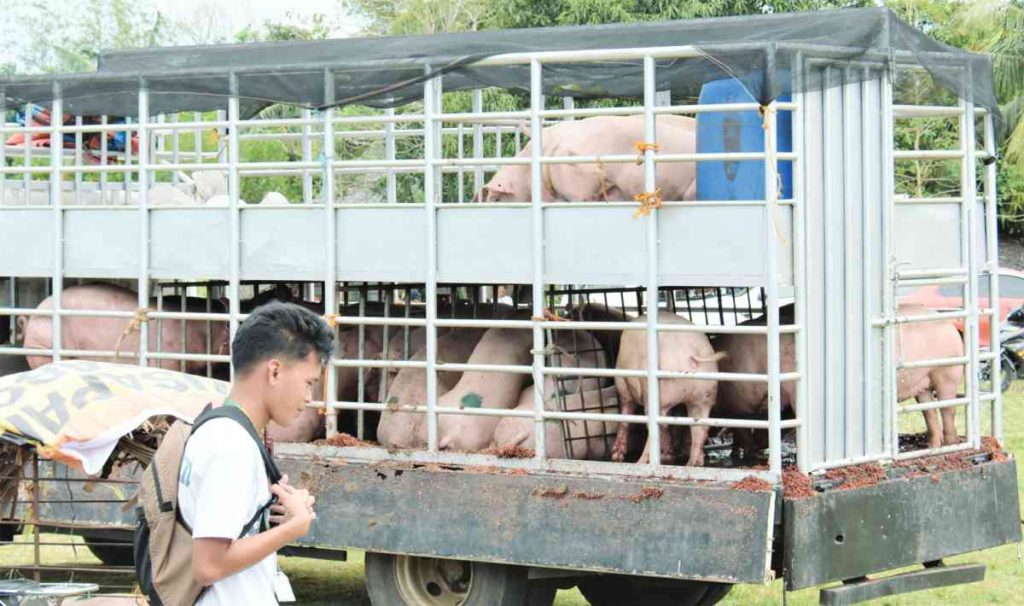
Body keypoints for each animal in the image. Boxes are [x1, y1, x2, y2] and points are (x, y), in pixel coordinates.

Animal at [610, 313, 724, 464]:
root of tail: (692, 353)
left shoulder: (622, 383)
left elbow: (625, 415)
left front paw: (616, 457)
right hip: (704, 395)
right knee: (699, 427)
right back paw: (692, 463)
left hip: (660, 394)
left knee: (658, 426)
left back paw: (641, 462)